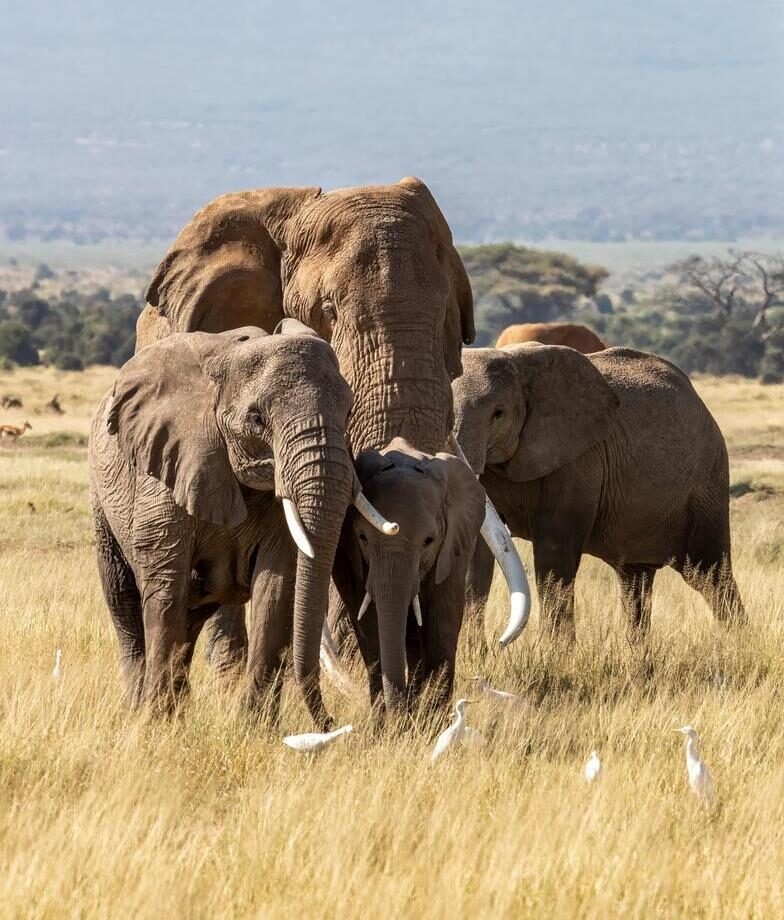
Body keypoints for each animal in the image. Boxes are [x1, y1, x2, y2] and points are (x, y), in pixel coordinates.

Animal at [88, 322, 392, 726]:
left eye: (347, 413)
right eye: (257, 419)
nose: (338, 724)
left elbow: (276, 588)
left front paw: (255, 726)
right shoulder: (167, 467)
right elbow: (166, 585)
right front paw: (156, 724)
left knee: (191, 614)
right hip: (102, 498)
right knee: (124, 599)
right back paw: (142, 706)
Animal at [345, 438, 486, 717]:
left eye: (428, 541)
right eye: (362, 538)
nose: (398, 716)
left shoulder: (455, 548)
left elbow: (441, 625)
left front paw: (432, 719)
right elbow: (370, 626)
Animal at [452, 344, 745, 641]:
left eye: (498, 413)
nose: (501, 642)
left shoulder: (579, 459)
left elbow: (554, 551)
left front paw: (554, 652)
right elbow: (477, 552)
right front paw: (475, 648)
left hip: (706, 483)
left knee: (708, 573)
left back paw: (736, 642)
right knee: (635, 580)